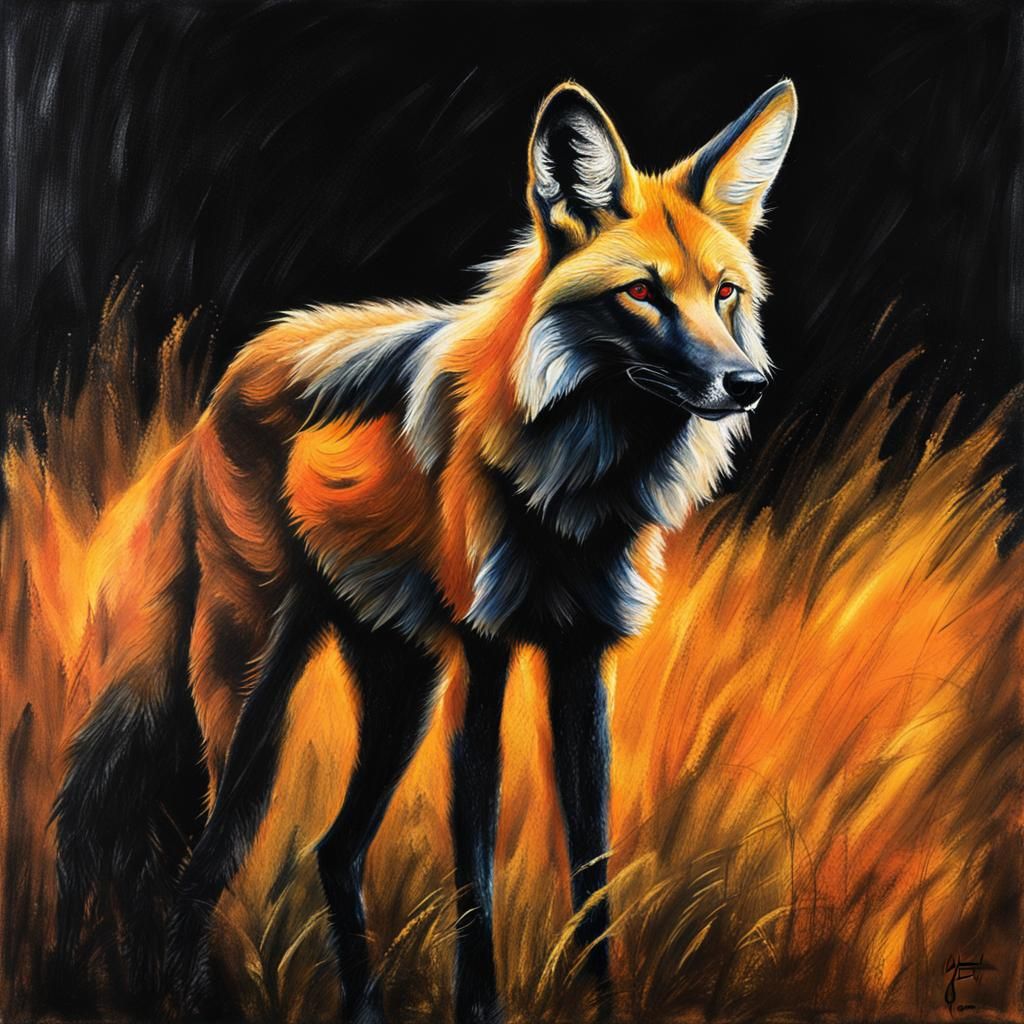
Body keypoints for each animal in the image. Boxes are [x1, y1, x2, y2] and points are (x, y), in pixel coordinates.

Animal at [52, 79, 796, 1023]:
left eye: (726, 293)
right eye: (642, 293)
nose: (748, 384)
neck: (572, 499)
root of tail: (228, 381)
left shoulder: (582, 659)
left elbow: (592, 870)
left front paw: (600, 1001)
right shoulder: (483, 660)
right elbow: (474, 882)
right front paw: (481, 1010)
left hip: (401, 691)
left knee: (333, 849)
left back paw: (361, 1008)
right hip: (254, 702)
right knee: (199, 871)